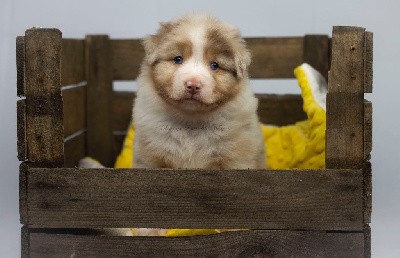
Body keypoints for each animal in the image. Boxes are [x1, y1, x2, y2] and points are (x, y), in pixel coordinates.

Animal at [134, 13, 266, 169]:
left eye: (214, 65)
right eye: (178, 59)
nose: (193, 85)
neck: (191, 121)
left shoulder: (237, 159)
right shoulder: (149, 159)